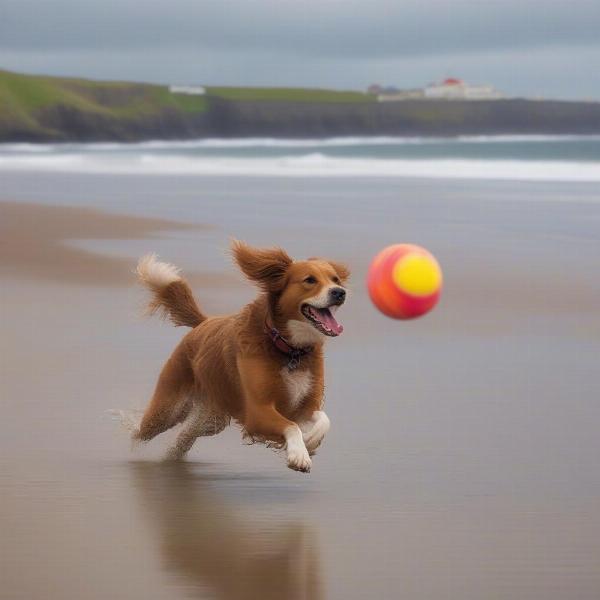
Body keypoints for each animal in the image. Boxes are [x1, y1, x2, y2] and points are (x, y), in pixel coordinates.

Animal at [129, 241, 350, 472]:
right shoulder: (257, 411)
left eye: (335, 279)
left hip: (211, 418)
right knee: (141, 431)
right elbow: (291, 426)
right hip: (169, 408)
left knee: (185, 435)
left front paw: (310, 441)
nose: (340, 292)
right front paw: (299, 454)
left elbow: (323, 420)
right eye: (310, 280)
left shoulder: (304, 406)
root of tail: (203, 322)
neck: (289, 350)